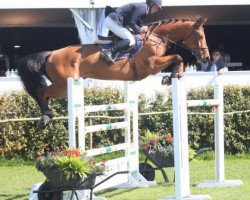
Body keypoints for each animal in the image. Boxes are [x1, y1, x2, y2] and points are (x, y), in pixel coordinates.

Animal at [16, 16, 210, 130]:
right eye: (200, 36)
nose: (206, 58)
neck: (155, 38)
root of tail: (51, 54)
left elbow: (177, 58)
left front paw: (171, 77)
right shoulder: (151, 66)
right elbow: (178, 56)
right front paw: (174, 75)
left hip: (63, 85)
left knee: (44, 94)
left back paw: (45, 117)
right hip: (64, 85)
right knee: (42, 92)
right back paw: (46, 117)